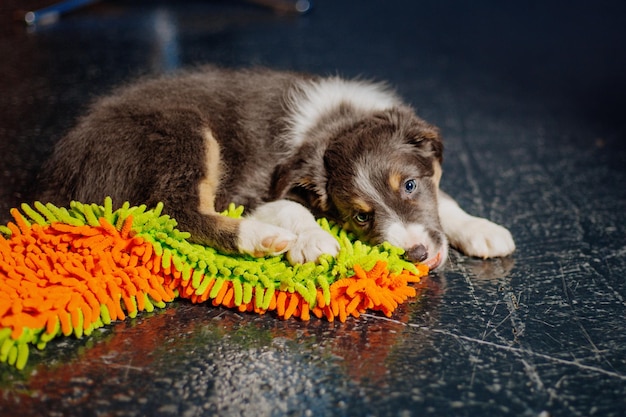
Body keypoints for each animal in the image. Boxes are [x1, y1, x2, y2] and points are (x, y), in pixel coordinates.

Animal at [40, 66, 516, 268]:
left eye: (411, 186)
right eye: (361, 217)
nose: (416, 254)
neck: (334, 122)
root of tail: (63, 168)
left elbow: (444, 198)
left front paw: (480, 228)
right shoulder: (253, 187)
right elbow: (290, 206)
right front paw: (312, 240)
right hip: (184, 131)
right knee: (177, 210)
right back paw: (259, 238)